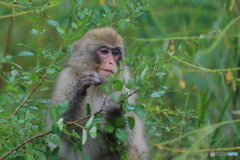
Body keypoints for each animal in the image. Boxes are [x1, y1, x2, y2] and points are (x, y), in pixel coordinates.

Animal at [46, 26, 148, 159]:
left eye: (115, 53)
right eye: (104, 51)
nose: (111, 62)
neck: (99, 86)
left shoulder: (125, 87)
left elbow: (128, 140)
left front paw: (114, 114)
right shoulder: (66, 78)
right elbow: (61, 128)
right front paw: (80, 88)